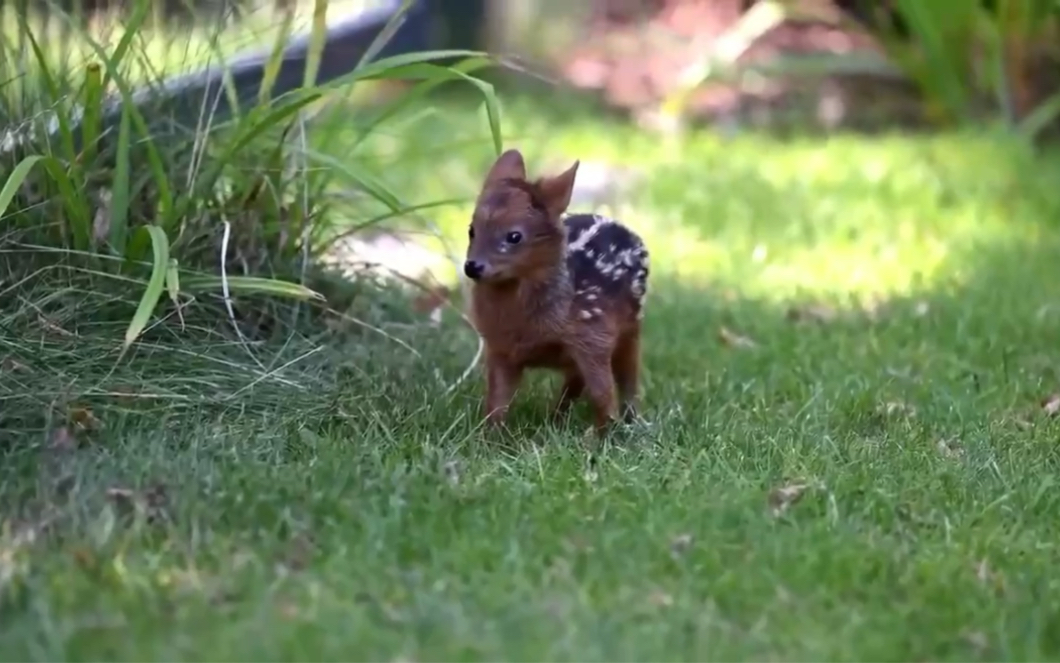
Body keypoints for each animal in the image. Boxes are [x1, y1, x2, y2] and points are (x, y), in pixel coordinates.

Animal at [466, 147, 648, 432]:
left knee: (628, 378)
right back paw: (557, 420)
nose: (472, 266)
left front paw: (600, 437)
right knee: (574, 384)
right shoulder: (500, 347)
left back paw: (633, 420)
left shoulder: (594, 336)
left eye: (514, 236)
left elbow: (603, 395)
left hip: (631, 329)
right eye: (471, 230)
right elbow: (496, 400)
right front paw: (490, 437)